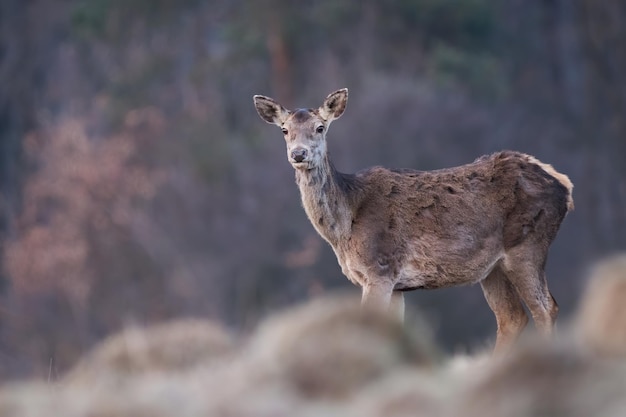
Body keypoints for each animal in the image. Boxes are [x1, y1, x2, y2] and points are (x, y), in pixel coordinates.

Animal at [252, 88, 572, 352]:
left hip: (527, 244)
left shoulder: (380, 269)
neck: (344, 228)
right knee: (512, 318)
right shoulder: (396, 284)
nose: (299, 153)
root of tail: (564, 185)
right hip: (492, 267)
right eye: (284, 130)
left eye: (320, 127)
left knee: (546, 309)